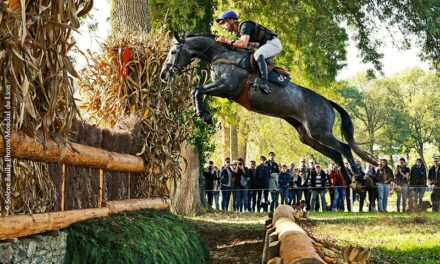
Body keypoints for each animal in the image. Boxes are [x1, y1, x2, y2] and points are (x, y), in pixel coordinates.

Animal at [159, 33, 378, 184]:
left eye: (173, 52)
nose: (163, 75)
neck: (222, 55)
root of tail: (327, 102)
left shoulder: (227, 86)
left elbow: (197, 89)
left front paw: (203, 114)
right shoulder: (223, 90)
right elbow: (198, 91)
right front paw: (203, 113)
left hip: (320, 131)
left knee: (345, 148)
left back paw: (359, 177)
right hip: (307, 135)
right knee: (335, 154)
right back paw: (348, 181)